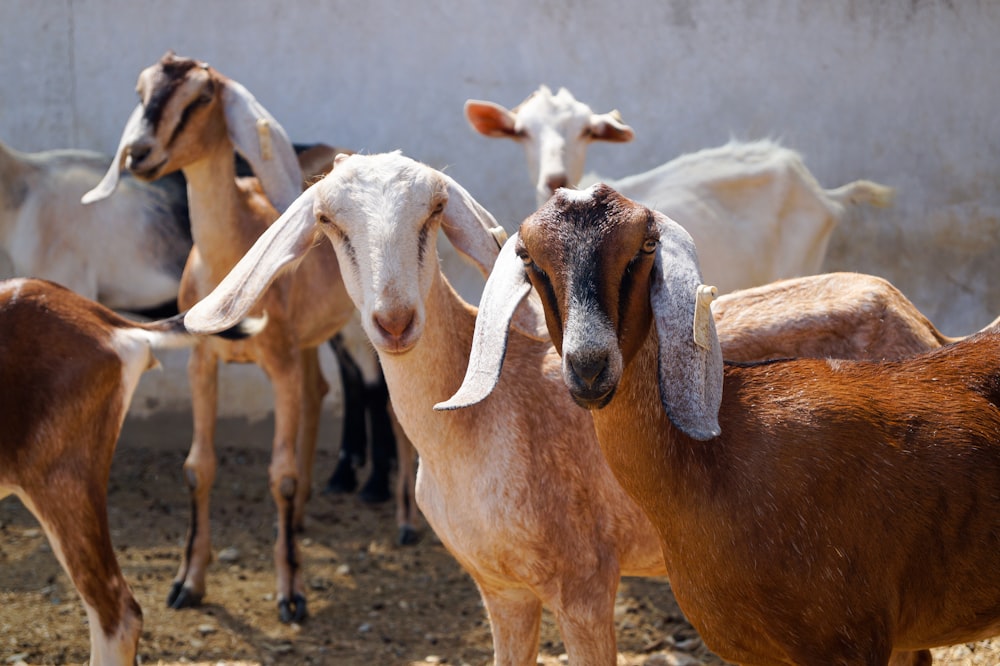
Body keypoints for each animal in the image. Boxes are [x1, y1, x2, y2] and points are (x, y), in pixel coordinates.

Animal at [82, 52, 358, 624]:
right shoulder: (202, 363)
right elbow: (197, 467)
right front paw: (188, 583)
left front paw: (291, 594)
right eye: (141, 90)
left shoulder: (278, 364)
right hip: (306, 344)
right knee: (317, 392)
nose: (139, 153)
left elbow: (281, 475)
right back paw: (299, 520)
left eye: (202, 96)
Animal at [182, 150, 960, 664]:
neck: (477, 421)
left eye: (433, 212)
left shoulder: (587, 580)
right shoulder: (499, 588)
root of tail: (921, 322)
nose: (395, 320)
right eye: (329, 221)